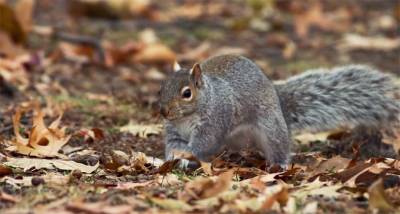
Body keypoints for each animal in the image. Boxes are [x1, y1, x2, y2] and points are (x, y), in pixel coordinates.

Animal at [159, 54, 400, 166]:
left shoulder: (214, 121)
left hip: (271, 128)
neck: (185, 119)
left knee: (279, 147)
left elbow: (203, 142)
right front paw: (173, 158)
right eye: (161, 87)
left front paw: (187, 154)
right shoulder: (174, 131)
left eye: (187, 93)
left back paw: (280, 165)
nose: (163, 112)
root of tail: (279, 102)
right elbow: (174, 144)